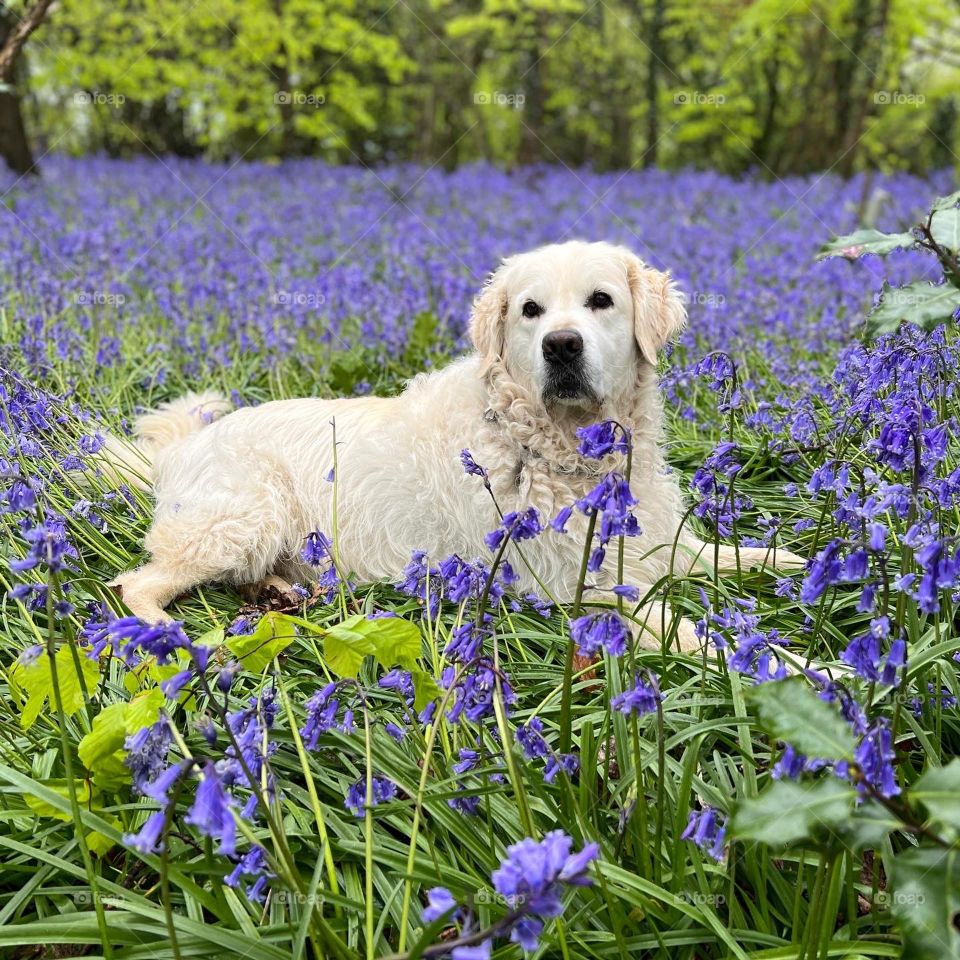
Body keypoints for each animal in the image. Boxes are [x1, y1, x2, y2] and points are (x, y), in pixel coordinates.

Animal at [101, 240, 804, 648]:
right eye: (530, 310)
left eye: (601, 300)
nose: (561, 346)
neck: (557, 446)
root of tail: (180, 449)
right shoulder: (587, 589)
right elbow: (704, 639)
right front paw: (811, 677)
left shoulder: (660, 544)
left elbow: (725, 553)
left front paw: (789, 561)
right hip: (243, 515)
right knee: (136, 582)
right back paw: (166, 635)